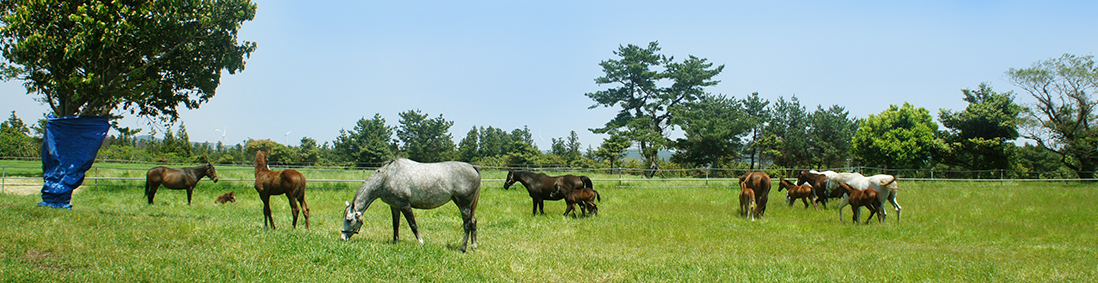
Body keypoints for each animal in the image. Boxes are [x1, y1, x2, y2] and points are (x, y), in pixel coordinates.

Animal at [340, 157, 483, 253]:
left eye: (349, 219)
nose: (342, 238)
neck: (387, 177)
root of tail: (472, 167)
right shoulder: (395, 206)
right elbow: (395, 225)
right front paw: (395, 242)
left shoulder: (405, 205)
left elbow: (413, 225)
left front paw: (421, 242)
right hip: (463, 204)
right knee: (473, 222)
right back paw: (473, 246)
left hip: (464, 204)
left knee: (467, 224)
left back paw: (463, 248)